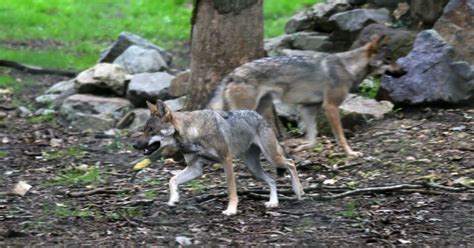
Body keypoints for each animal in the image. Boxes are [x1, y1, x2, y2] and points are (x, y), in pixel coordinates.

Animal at [133, 100, 304, 215]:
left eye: (151, 130)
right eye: (144, 129)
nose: (134, 145)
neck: (193, 132)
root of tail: (260, 116)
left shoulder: (226, 160)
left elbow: (231, 190)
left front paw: (231, 209)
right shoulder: (195, 169)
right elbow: (171, 180)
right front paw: (173, 199)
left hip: (271, 157)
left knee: (291, 163)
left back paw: (298, 191)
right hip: (253, 168)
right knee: (273, 179)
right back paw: (273, 202)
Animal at [209, 34, 406, 156]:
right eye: (389, 59)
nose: (405, 71)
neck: (348, 67)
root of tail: (233, 73)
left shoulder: (307, 108)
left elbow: (312, 139)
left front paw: (300, 149)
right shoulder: (330, 107)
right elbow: (341, 136)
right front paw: (350, 153)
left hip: (260, 109)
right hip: (247, 111)